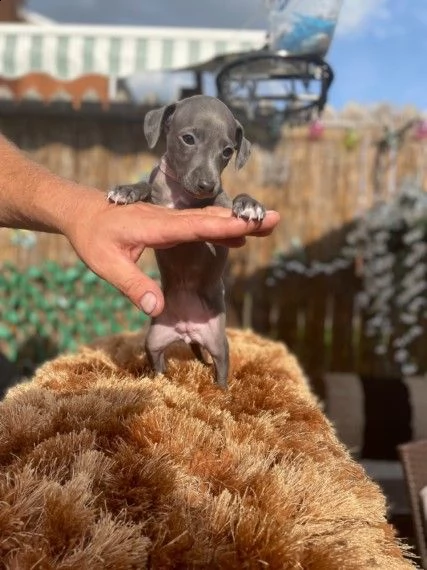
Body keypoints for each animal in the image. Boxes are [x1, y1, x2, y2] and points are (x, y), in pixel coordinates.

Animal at [108, 94, 266, 386]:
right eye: (188, 139)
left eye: (228, 151)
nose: (207, 185)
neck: (182, 194)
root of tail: (187, 330)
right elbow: (146, 187)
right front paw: (128, 190)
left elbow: (231, 202)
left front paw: (250, 204)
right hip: (155, 338)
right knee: (158, 361)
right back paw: (160, 381)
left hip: (217, 342)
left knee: (220, 366)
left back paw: (221, 390)